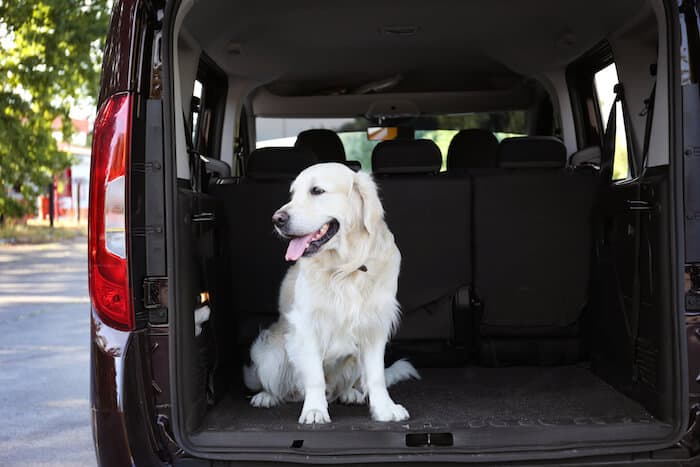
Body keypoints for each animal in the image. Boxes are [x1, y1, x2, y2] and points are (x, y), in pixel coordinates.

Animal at [243, 162, 418, 424]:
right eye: (292, 195)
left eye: (317, 190)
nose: (277, 219)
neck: (345, 268)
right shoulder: (307, 325)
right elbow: (315, 376)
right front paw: (315, 410)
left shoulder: (374, 324)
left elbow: (376, 376)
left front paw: (385, 409)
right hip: (269, 351)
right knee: (277, 385)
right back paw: (267, 397)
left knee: (343, 386)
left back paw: (349, 393)